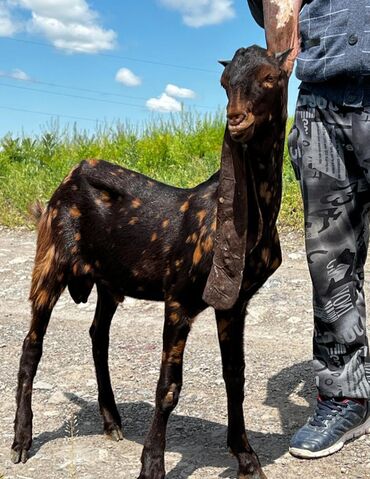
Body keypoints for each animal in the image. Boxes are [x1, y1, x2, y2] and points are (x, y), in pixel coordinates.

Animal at [11, 46, 290, 479]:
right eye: (225, 83)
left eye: (270, 78)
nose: (236, 119)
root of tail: (65, 182)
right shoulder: (179, 299)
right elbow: (168, 387)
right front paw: (152, 465)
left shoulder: (234, 303)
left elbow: (236, 376)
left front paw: (247, 459)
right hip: (50, 262)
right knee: (31, 345)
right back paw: (22, 439)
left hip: (108, 282)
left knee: (98, 335)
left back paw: (112, 420)